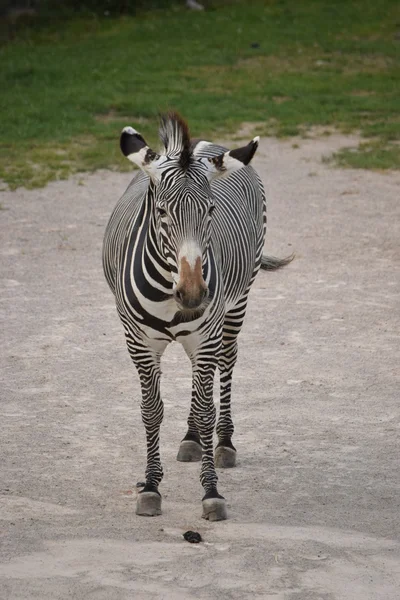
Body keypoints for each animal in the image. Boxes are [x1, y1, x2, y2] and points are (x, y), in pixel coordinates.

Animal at [102, 113, 290, 520]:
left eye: (210, 211)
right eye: (161, 212)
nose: (192, 294)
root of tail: (203, 143)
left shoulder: (206, 336)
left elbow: (206, 411)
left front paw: (211, 492)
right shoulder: (139, 342)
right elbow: (151, 410)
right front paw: (151, 486)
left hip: (236, 305)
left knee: (227, 362)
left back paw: (223, 443)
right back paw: (190, 439)